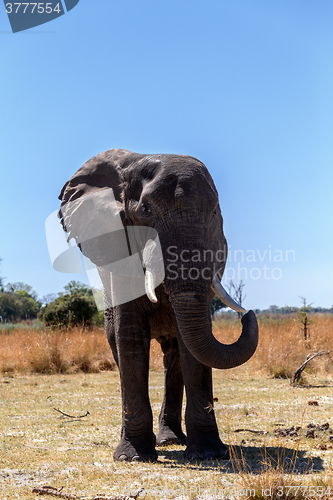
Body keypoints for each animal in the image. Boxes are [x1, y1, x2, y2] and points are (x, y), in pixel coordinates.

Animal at [58, 147, 258, 460]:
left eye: (215, 212)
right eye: (146, 211)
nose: (248, 315)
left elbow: (192, 347)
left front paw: (208, 454)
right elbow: (130, 336)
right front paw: (132, 456)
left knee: (174, 355)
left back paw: (170, 440)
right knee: (118, 345)